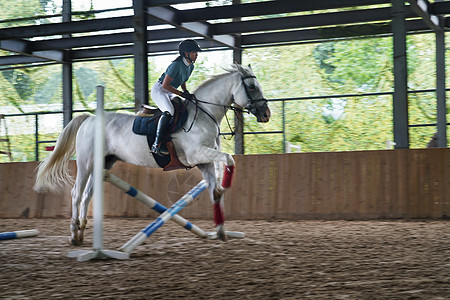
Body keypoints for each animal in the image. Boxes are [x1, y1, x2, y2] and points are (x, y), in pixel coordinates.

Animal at [34, 64, 270, 245]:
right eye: (251, 87)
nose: (266, 114)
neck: (204, 115)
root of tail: (90, 118)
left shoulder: (204, 162)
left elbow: (216, 192)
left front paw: (221, 231)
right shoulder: (197, 154)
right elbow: (229, 158)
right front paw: (227, 182)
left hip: (104, 163)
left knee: (87, 195)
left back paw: (82, 231)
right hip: (86, 162)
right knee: (76, 193)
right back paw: (74, 234)